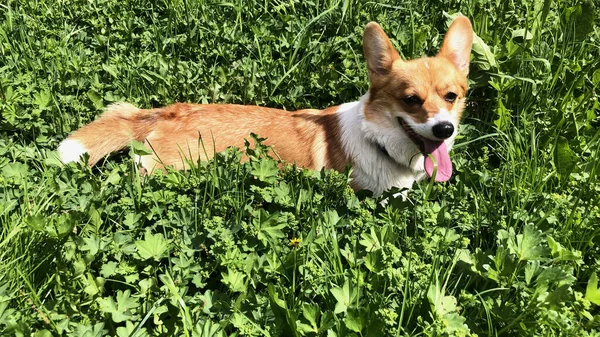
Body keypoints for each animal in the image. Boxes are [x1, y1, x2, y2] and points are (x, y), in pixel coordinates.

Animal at [59, 16, 474, 194]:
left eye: (451, 97)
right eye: (410, 100)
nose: (444, 129)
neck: (381, 142)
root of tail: (170, 111)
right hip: (171, 167)